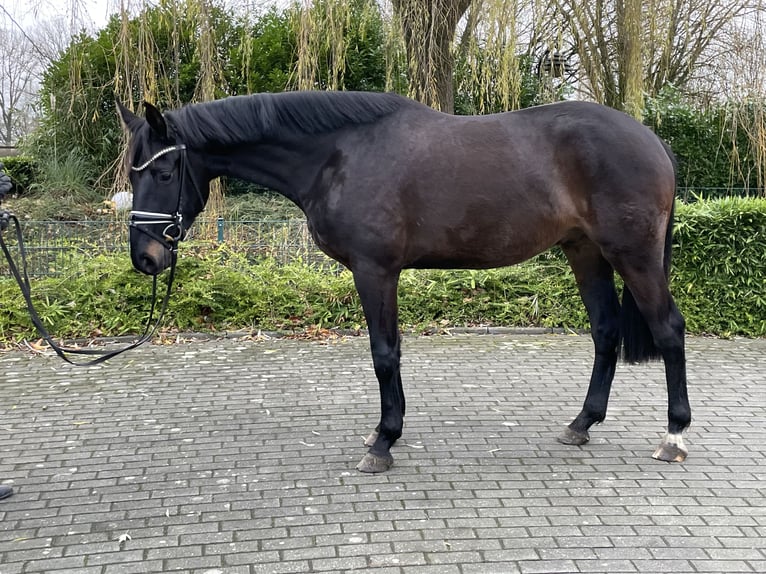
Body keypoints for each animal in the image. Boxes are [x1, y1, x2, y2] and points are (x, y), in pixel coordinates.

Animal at [117, 92, 692, 474]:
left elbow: (384, 353)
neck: (337, 155)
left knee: (669, 330)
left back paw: (674, 435)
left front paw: (383, 442)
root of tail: (652, 140)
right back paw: (582, 424)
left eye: (163, 174)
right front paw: (385, 433)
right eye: (131, 174)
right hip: (585, 251)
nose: (145, 258)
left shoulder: (375, 270)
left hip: (633, 255)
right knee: (605, 331)